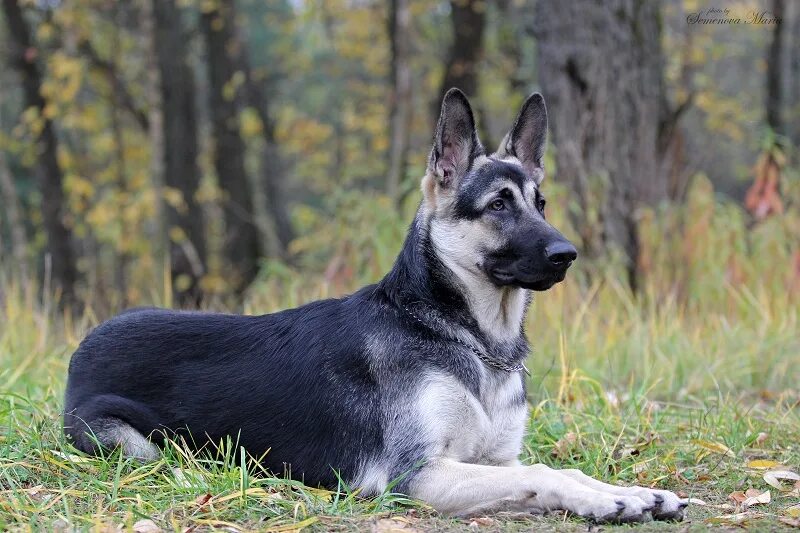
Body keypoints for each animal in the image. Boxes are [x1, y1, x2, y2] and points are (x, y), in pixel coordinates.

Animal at [64, 90, 688, 520]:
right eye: (498, 205)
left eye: (541, 203)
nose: (568, 254)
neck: (465, 336)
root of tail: (85, 344)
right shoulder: (419, 474)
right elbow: (543, 471)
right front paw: (604, 501)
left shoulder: (495, 462)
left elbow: (558, 467)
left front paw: (631, 492)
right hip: (138, 448)